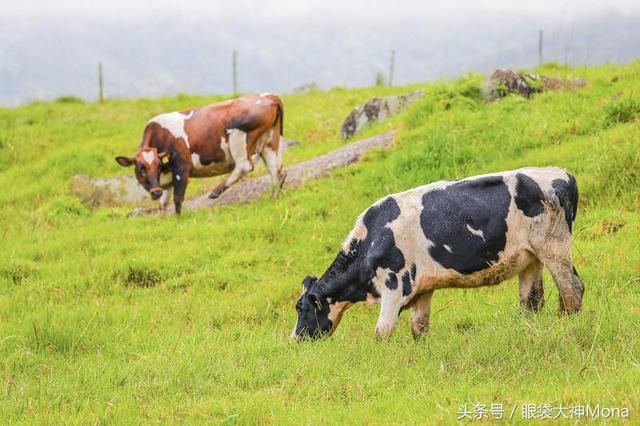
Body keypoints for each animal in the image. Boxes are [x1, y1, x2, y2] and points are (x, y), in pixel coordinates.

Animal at [115, 93, 284, 213]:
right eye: (141, 168)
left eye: (158, 165)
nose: (156, 192)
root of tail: (268, 95)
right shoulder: (168, 176)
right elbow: (163, 204)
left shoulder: (182, 166)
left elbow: (177, 198)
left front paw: (178, 219)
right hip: (269, 142)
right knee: (277, 169)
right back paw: (274, 198)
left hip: (239, 137)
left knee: (244, 166)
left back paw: (215, 192)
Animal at [292, 166, 584, 340]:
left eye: (301, 308)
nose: (295, 339)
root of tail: (562, 173)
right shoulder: (422, 289)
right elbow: (419, 329)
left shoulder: (395, 285)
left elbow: (382, 332)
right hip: (529, 257)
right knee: (531, 301)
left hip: (554, 246)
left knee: (572, 288)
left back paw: (567, 325)